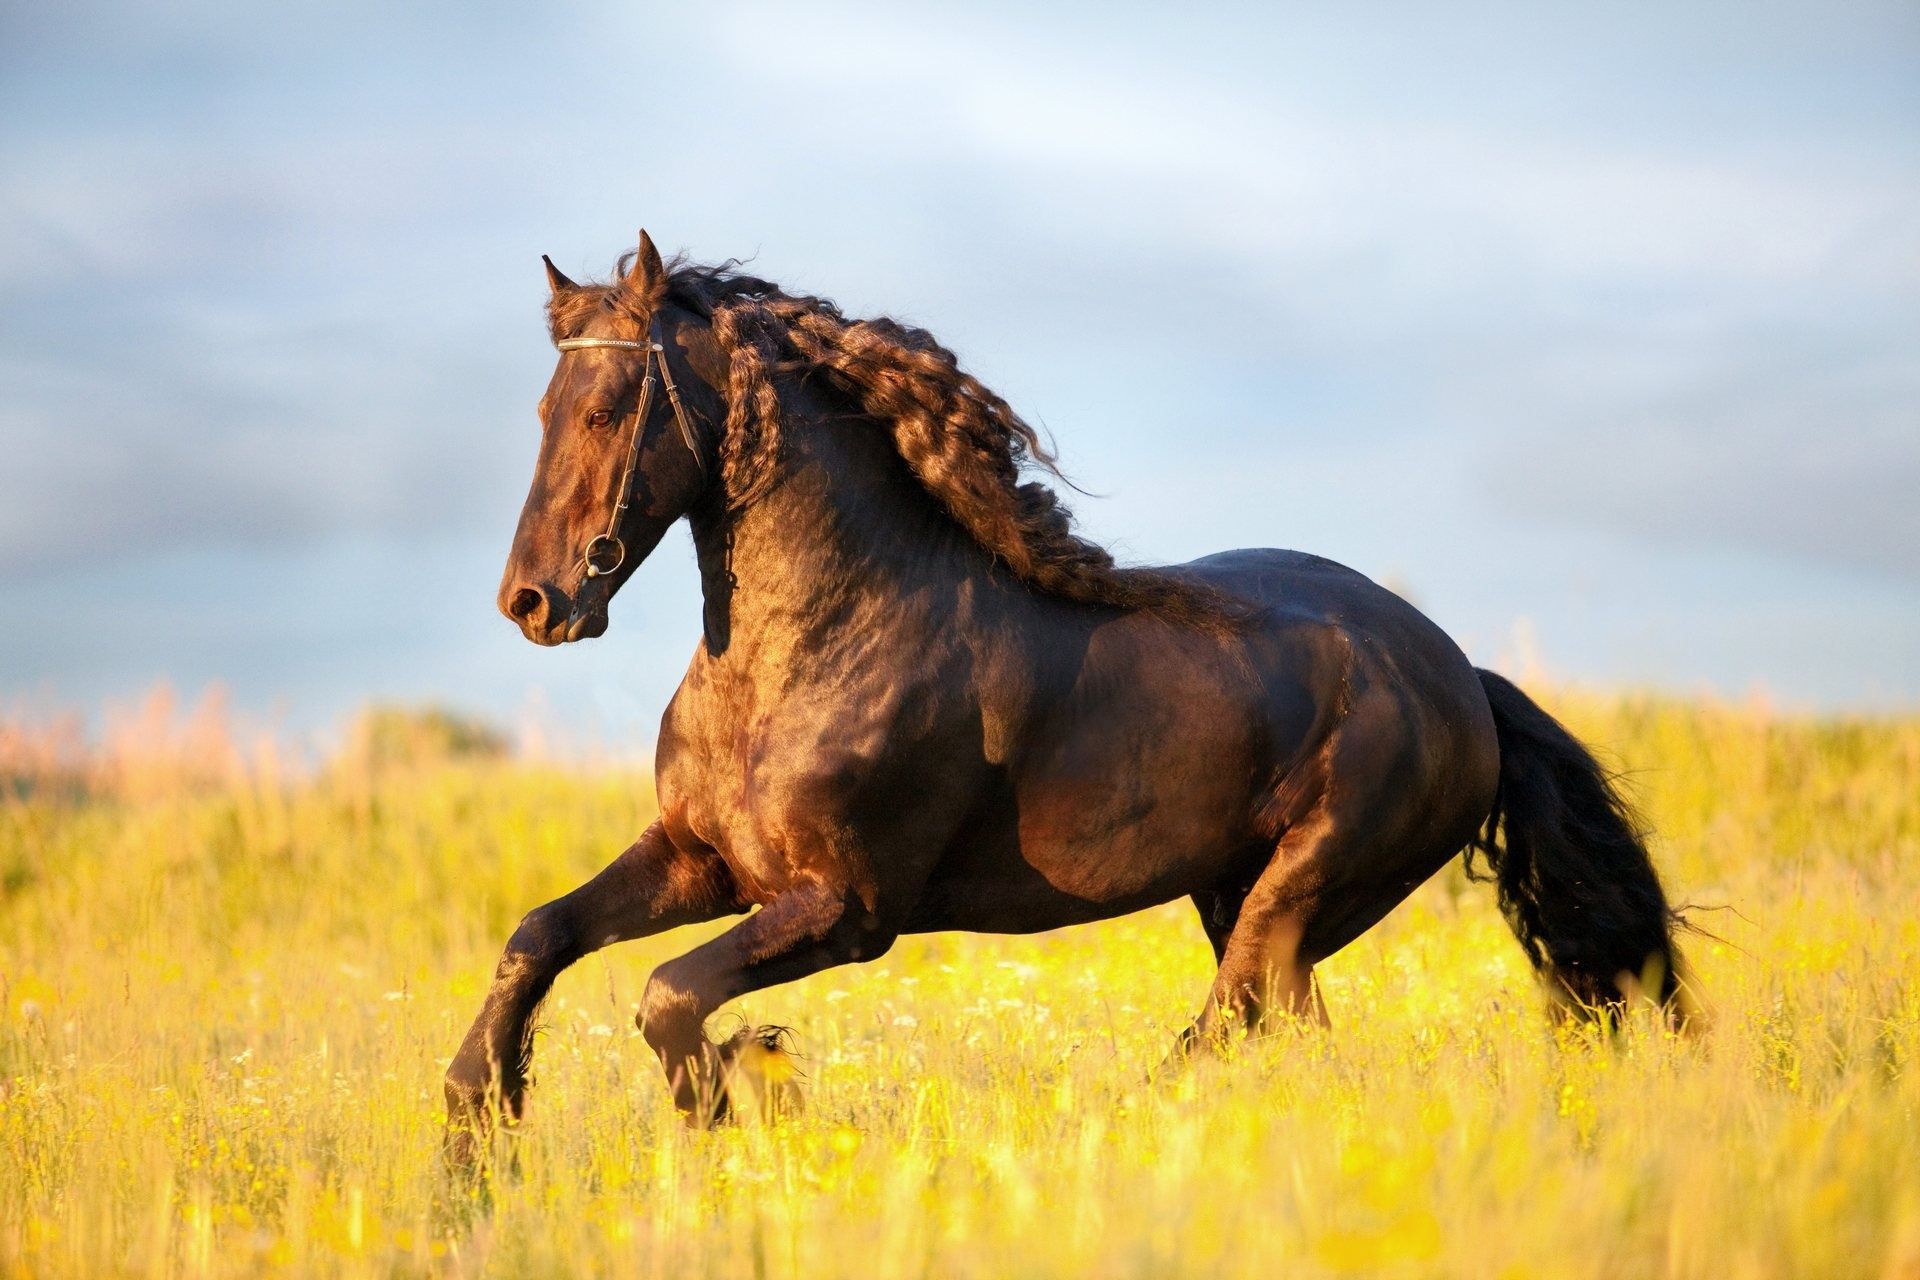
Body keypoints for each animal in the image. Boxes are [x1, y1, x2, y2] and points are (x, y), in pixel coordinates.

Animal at [441, 230, 1689, 1159]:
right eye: (544, 410)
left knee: (1229, 1021)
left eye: (608, 407)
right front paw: (474, 1126)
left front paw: (739, 1099)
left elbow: (664, 993)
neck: (810, 648)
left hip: (1304, 889)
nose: (534, 601)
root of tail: (1459, 675)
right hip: (1242, 896)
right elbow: (538, 936)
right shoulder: (703, 859)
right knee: (1285, 1033)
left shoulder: (847, 907)